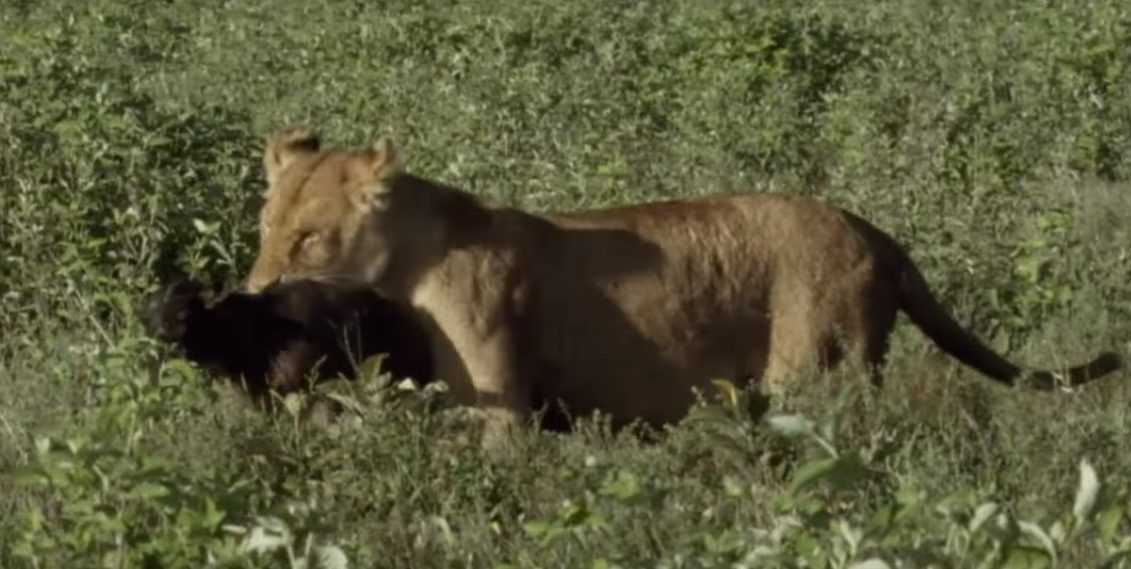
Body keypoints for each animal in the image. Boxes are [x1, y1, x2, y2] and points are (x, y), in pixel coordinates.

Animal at [245, 127, 1121, 437]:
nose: (253, 293)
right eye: (264, 228)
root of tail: (870, 229)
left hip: (818, 366)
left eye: (309, 237)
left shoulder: (497, 394)